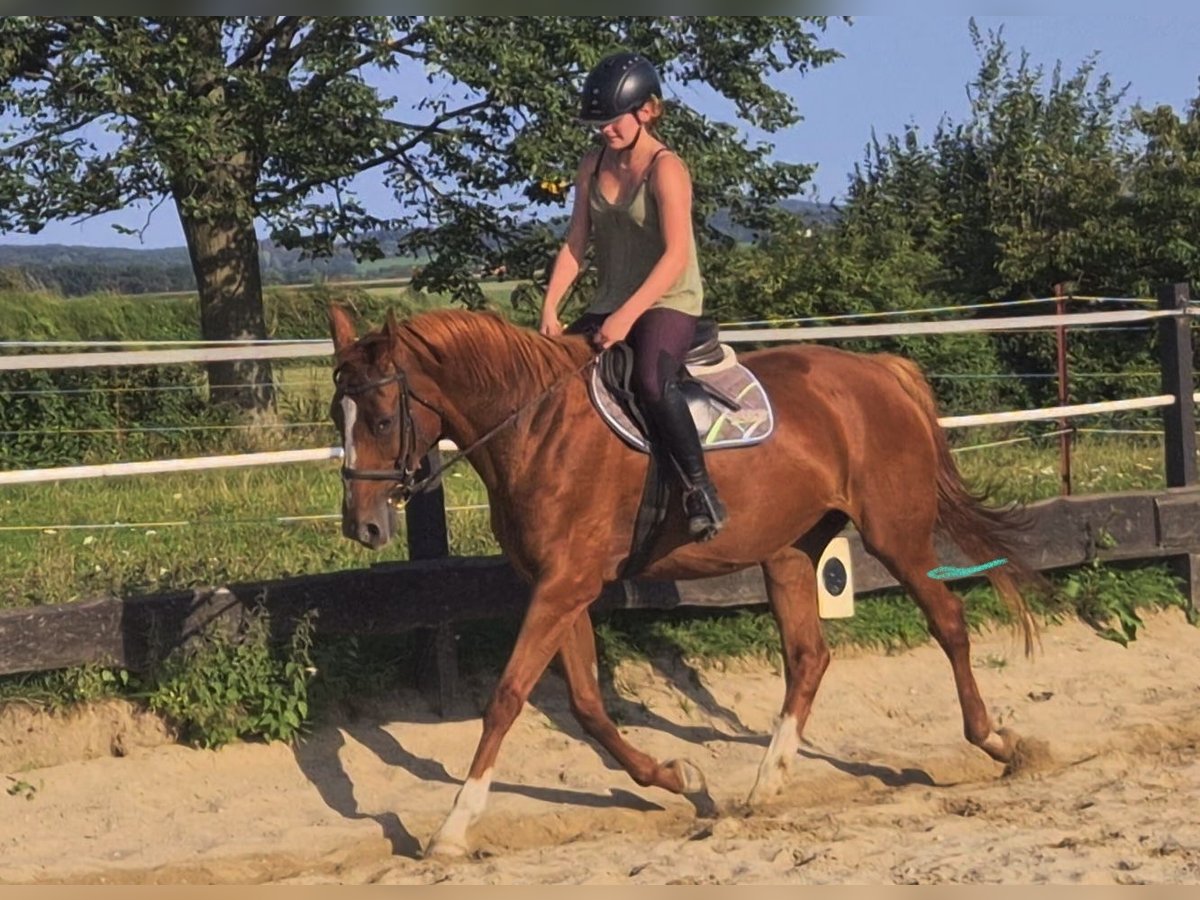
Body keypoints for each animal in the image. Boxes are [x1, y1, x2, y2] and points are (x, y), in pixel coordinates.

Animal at [328, 309, 1041, 859]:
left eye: (383, 420)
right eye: (338, 417)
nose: (362, 526)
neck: (536, 426)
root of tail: (883, 371)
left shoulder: (564, 585)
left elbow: (506, 697)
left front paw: (453, 827)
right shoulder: (561, 587)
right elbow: (586, 704)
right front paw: (678, 778)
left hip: (896, 533)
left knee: (947, 620)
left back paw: (999, 741)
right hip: (790, 550)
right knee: (809, 656)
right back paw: (766, 785)